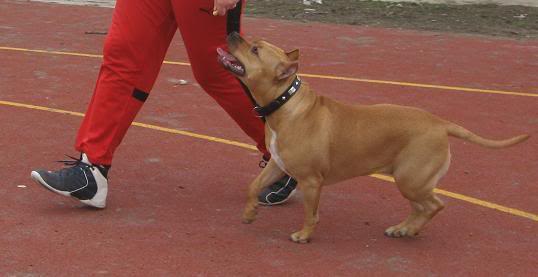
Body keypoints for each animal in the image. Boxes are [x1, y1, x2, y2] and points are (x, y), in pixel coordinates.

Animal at [216, 31, 524, 242]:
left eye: (255, 49)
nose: (232, 33)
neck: (285, 103)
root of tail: (440, 123)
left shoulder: (312, 181)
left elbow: (310, 213)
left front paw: (304, 235)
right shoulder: (277, 163)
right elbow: (253, 185)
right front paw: (250, 213)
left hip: (411, 179)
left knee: (435, 204)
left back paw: (408, 229)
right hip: (410, 180)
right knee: (422, 207)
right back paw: (403, 229)